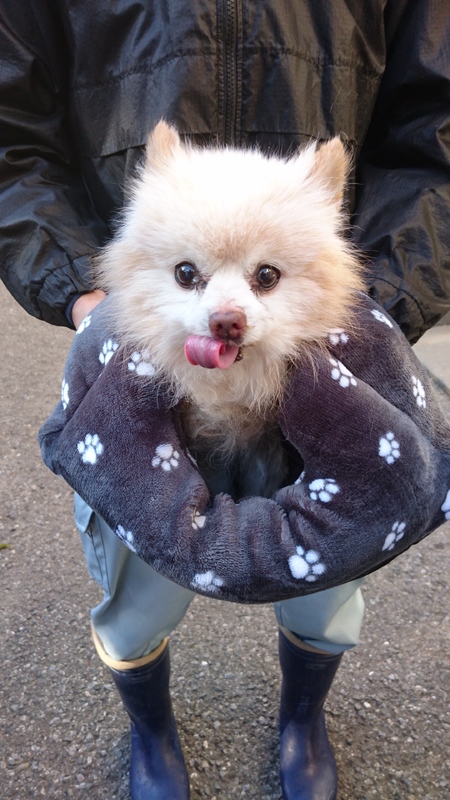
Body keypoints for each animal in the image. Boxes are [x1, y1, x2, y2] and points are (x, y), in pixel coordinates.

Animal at [96, 121, 364, 500]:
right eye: (186, 273)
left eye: (267, 275)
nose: (225, 321)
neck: (229, 392)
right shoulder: (207, 450)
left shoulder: (264, 447)